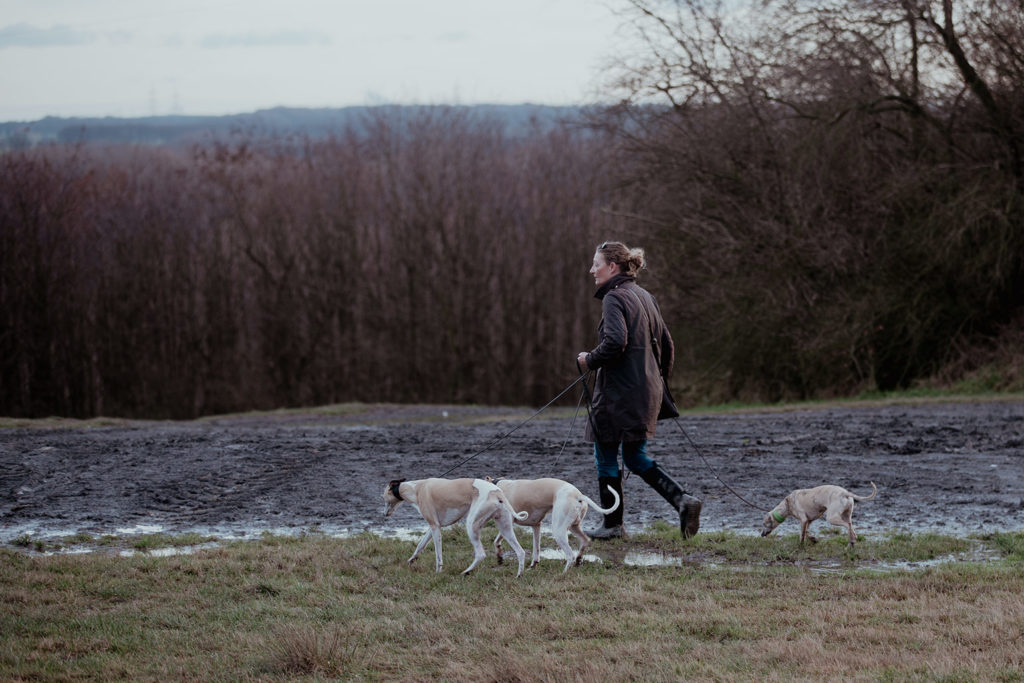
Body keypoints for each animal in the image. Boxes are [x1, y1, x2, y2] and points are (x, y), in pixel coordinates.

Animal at [382, 481, 528, 577]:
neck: (416, 488)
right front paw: (411, 560)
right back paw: (519, 575)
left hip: (472, 525)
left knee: (481, 554)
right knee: (520, 552)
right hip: (505, 527)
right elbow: (420, 545)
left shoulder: (435, 527)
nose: (384, 514)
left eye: (384, 497)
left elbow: (438, 555)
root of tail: (497, 493)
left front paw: (438, 572)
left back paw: (466, 571)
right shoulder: (433, 526)